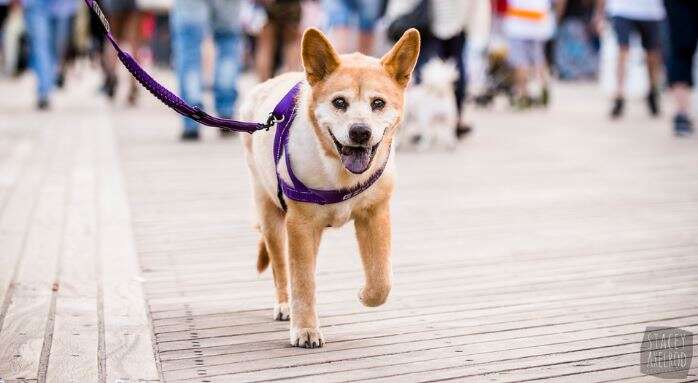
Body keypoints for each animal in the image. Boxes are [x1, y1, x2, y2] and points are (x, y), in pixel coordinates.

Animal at [237, 28, 418, 350]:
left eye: (378, 103)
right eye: (339, 103)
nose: (360, 132)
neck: (341, 175)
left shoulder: (375, 214)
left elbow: (381, 280)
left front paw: (365, 295)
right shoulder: (300, 224)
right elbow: (303, 281)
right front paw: (305, 329)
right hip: (272, 217)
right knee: (282, 268)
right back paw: (285, 305)